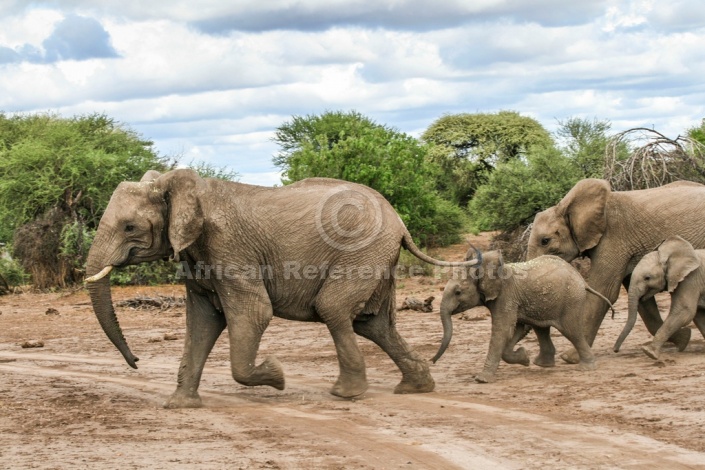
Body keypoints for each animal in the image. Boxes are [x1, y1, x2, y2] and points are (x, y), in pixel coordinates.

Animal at [84, 169, 478, 408]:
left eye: (130, 227)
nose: (136, 362)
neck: (180, 184)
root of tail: (400, 221)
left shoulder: (229, 247)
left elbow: (254, 313)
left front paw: (277, 376)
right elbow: (202, 322)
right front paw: (180, 406)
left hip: (362, 252)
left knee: (334, 309)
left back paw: (346, 394)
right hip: (375, 257)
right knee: (373, 323)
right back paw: (416, 387)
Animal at [428, 250, 612, 382]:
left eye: (458, 292)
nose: (432, 362)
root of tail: (582, 279)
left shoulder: (506, 296)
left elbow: (503, 329)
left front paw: (481, 380)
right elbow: (517, 327)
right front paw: (524, 358)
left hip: (571, 300)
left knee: (571, 331)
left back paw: (586, 368)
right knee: (541, 329)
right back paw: (542, 364)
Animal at [524, 178, 704, 362]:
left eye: (545, 241)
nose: (616, 350)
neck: (568, 205)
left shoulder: (613, 238)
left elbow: (604, 292)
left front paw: (570, 358)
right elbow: (643, 303)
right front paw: (684, 338)